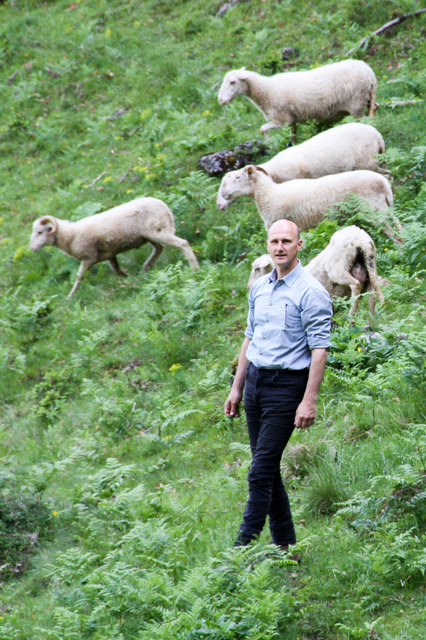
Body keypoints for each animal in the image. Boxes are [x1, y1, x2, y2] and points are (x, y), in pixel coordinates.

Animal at [30, 195, 200, 298]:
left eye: (39, 232)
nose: (31, 249)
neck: (71, 235)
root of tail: (164, 206)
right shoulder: (109, 254)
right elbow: (117, 270)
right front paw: (129, 278)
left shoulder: (88, 257)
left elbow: (79, 277)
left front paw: (70, 296)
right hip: (150, 235)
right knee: (159, 249)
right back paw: (145, 268)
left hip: (156, 231)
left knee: (182, 243)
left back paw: (195, 268)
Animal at [218, 59, 378, 141]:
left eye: (232, 82)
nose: (220, 100)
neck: (266, 90)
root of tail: (370, 73)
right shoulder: (292, 120)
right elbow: (293, 136)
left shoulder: (282, 120)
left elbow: (262, 129)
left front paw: (269, 143)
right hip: (367, 98)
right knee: (375, 107)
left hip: (356, 104)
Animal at [218, 164, 402, 241]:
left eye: (238, 177)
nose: (224, 195)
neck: (268, 194)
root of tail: (383, 183)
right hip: (385, 207)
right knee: (399, 228)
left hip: (374, 209)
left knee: (392, 232)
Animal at [245, 225, 384, 316]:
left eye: (256, 269)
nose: (249, 286)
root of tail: (361, 240)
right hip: (371, 266)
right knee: (373, 290)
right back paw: (374, 315)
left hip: (338, 269)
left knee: (356, 284)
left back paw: (351, 316)